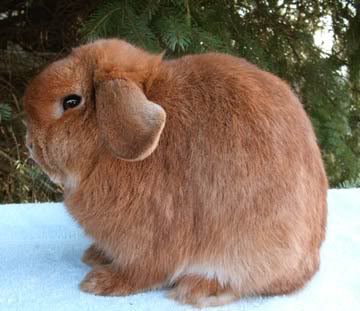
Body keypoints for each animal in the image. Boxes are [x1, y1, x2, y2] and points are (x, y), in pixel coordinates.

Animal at [21, 38, 326, 308]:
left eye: (71, 101)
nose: (30, 145)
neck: (104, 151)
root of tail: (308, 265)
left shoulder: (152, 237)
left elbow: (143, 272)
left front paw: (98, 283)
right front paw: (94, 256)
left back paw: (198, 290)